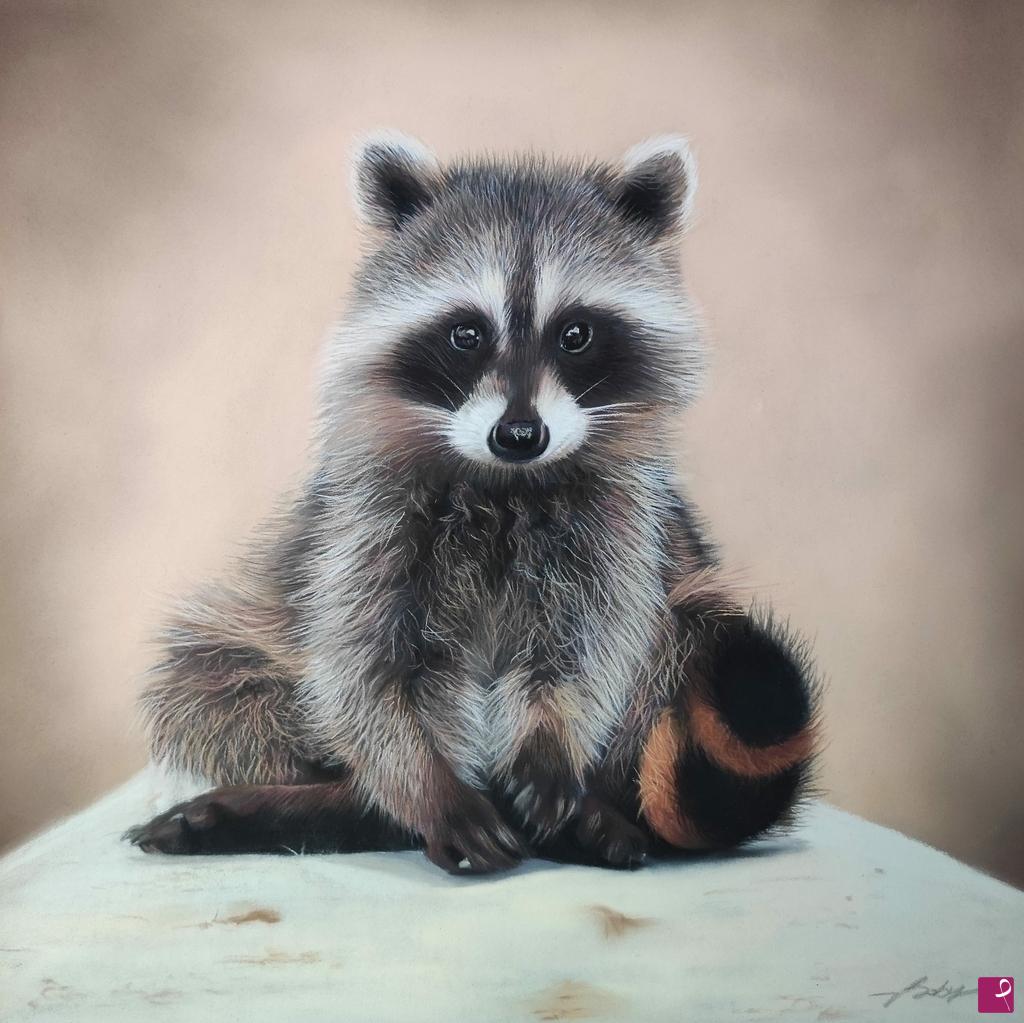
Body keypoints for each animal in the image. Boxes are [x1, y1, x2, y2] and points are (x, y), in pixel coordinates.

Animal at [125, 132, 821, 875]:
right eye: (466, 333)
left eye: (575, 333)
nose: (519, 434)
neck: (505, 482)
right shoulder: (363, 524)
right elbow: (367, 669)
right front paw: (433, 790)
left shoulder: (621, 522)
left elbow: (586, 646)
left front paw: (550, 744)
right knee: (210, 685)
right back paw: (345, 803)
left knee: (678, 640)